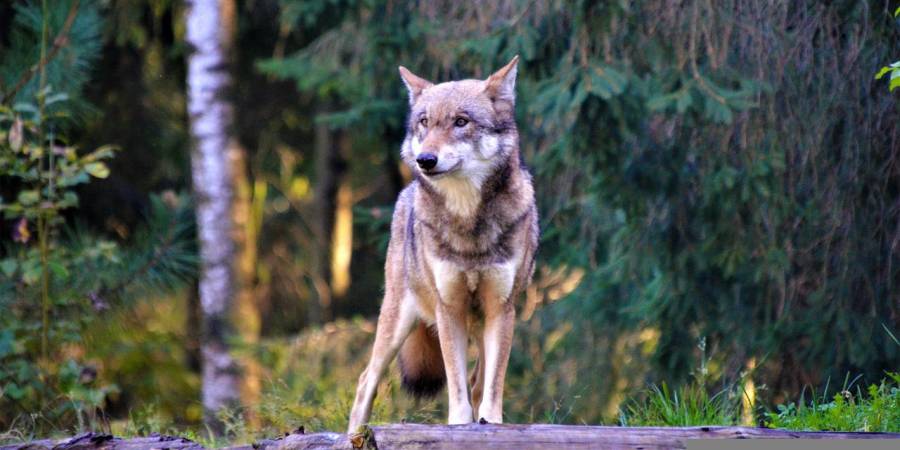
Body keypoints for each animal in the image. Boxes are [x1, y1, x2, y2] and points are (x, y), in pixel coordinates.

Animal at [348, 54, 536, 434]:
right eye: (424, 122)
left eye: (461, 122)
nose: (426, 160)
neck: (468, 223)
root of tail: (405, 193)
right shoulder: (448, 309)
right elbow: (456, 387)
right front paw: (460, 425)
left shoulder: (502, 309)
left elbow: (491, 386)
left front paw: (490, 423)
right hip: (397, 321)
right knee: (365, 382)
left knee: (478, 381)